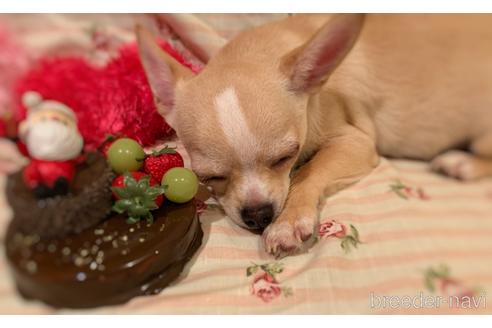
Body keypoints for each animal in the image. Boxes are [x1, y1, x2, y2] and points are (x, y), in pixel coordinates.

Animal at [136, 14, 492, 256]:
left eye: (285, 157)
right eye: (210, 176)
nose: (258, 214)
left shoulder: (355, 142)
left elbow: (310, 170)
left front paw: (287, 222)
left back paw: (462, 164)